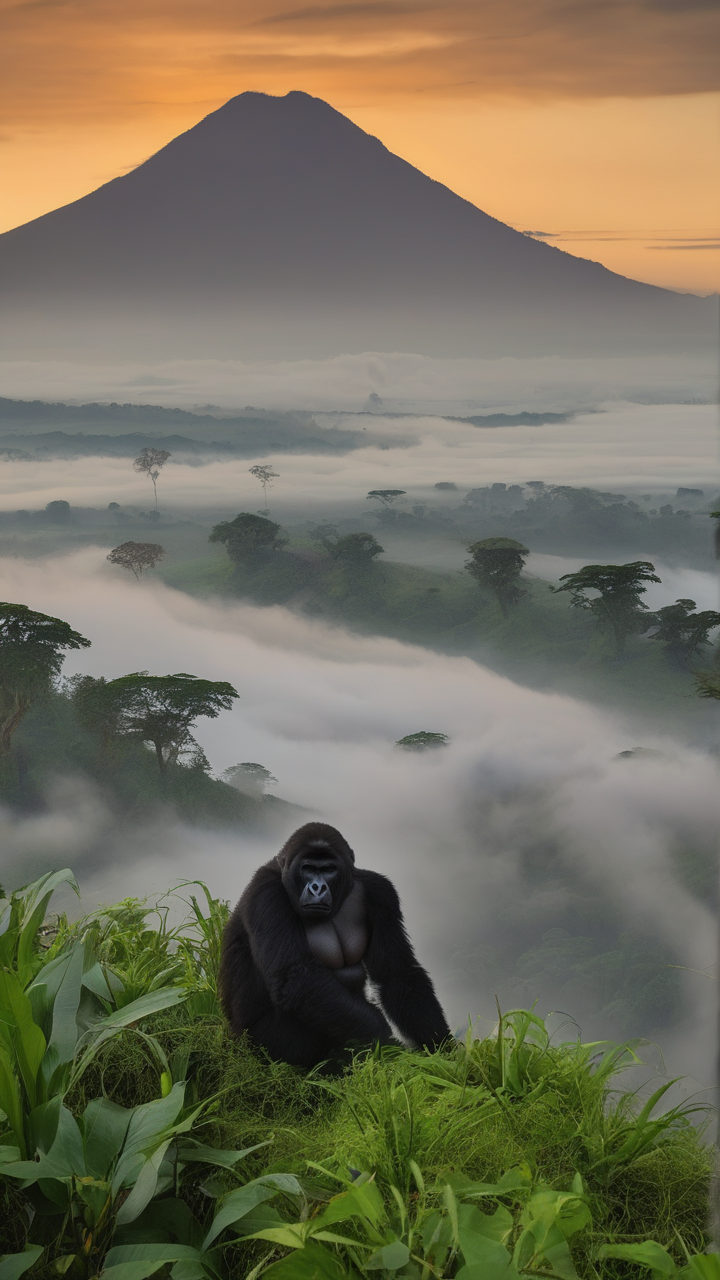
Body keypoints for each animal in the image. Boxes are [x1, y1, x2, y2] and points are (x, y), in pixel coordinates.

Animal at [219, 821, 451, 1067]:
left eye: (329, 869)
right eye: (308, 868)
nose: (317, 888)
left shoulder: (381, 892)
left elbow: (396, 972)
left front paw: (441, 1046)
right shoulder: (265, 890)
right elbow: (296, 976)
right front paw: (385, 1040)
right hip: (252, 1043)